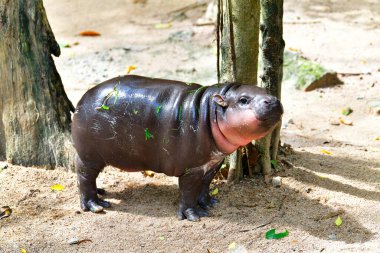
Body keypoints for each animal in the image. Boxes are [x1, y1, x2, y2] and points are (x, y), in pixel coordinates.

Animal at [71, 75, 282, 221]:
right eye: (243, 99)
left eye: (265, 89)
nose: (273, 100)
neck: (210, 111)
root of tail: (83, 98)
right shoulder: (191, 169)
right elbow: (188, 192)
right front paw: (194, 216)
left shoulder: (212, 163)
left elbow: (205, 186)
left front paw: (209, 203)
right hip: (89, 155)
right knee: (84, 176)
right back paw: (96, 205)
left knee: (88, 178)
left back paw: (101, 192)